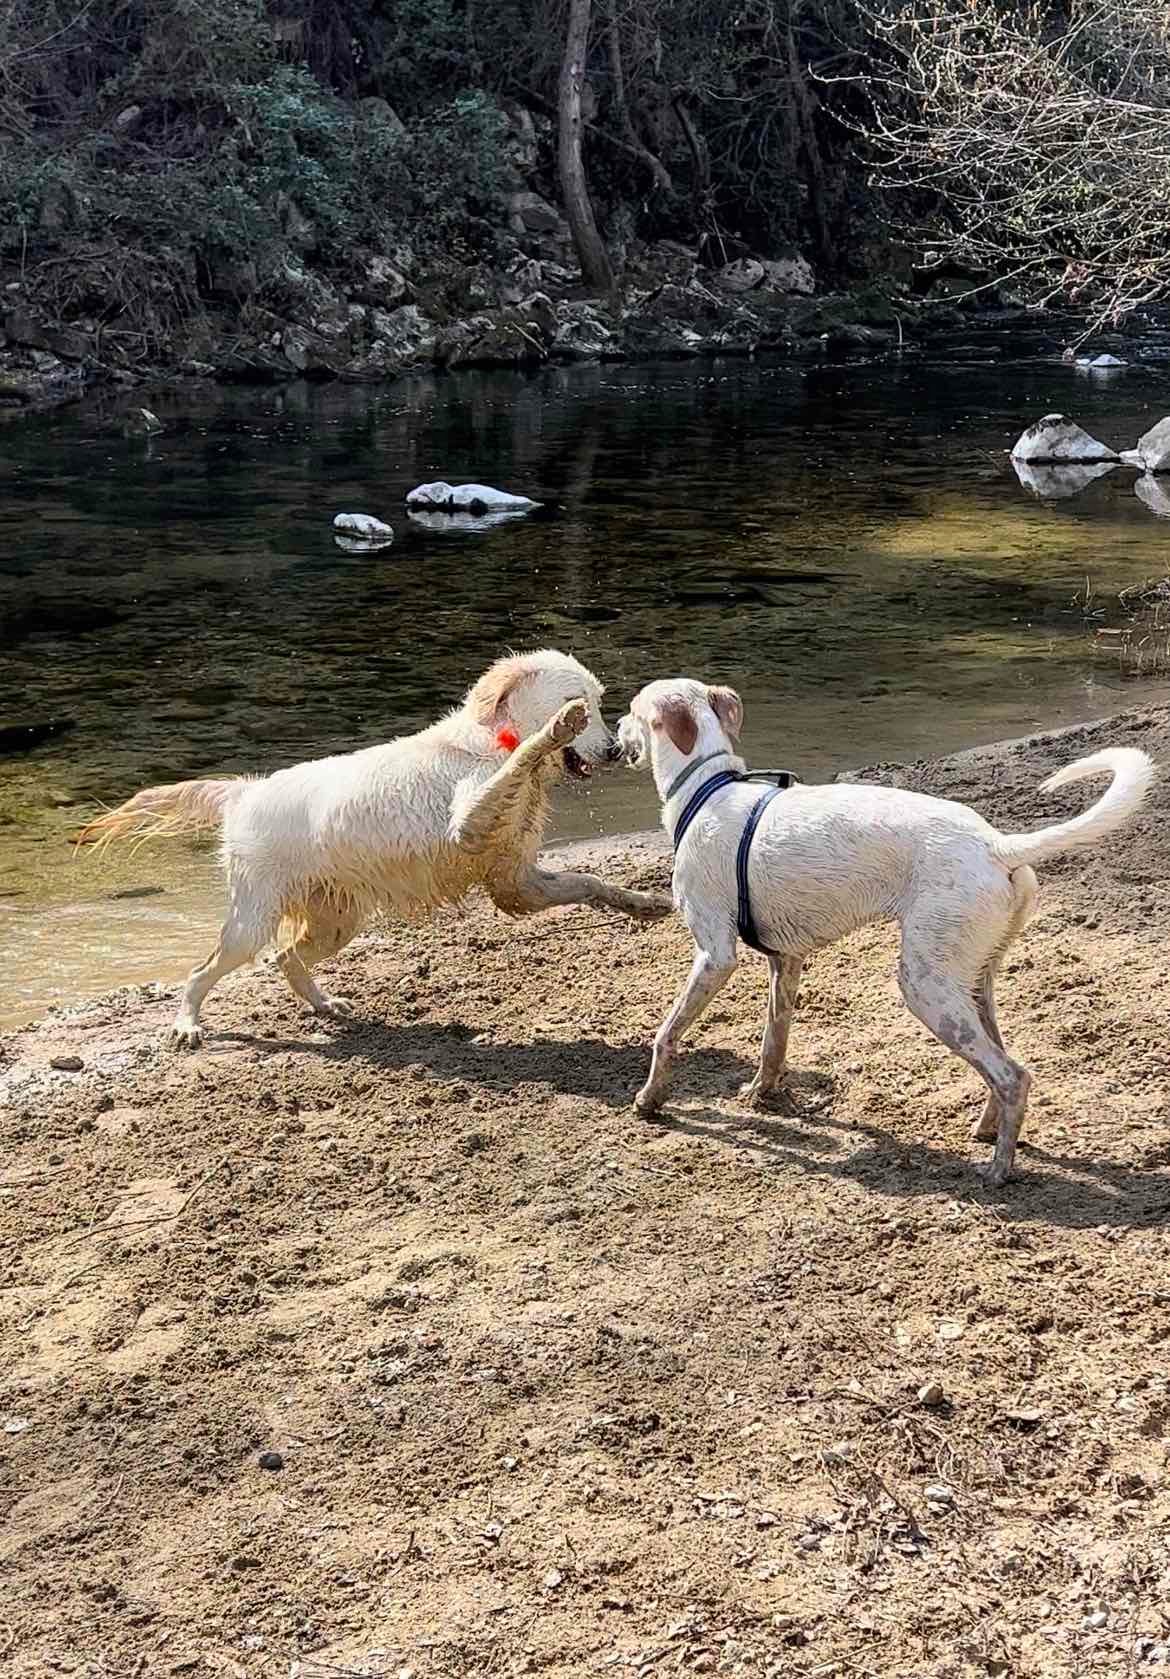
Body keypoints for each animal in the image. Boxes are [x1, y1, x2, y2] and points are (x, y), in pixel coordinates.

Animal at [80, 649, 671, 1047]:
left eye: (602, 704)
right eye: (582, 703)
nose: (615, 750)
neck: (491, 738)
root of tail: (245, 792)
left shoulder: (516, 883)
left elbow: (592, 882)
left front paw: (644, 904)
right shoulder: (470, 823)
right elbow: (519, 758)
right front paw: (551, 729)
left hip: (337, 921)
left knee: (287, 957)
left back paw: (325, 1003)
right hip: (253, 919)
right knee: (203, 970)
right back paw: (186, 1022)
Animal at [617, 677, 1154, 1186]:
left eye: (633, 709)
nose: (616, 732)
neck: (707, 790)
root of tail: (997, 845)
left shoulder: (715, 956)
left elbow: (666, 1035)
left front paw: (650, 1099)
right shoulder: (785, 961)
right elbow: (774, 1042)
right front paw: (760, 1094)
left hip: (925, 987)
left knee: (1012, 1076)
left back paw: (998, 1170)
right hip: (972, 984)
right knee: (1003, 1061)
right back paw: (987, 1131)